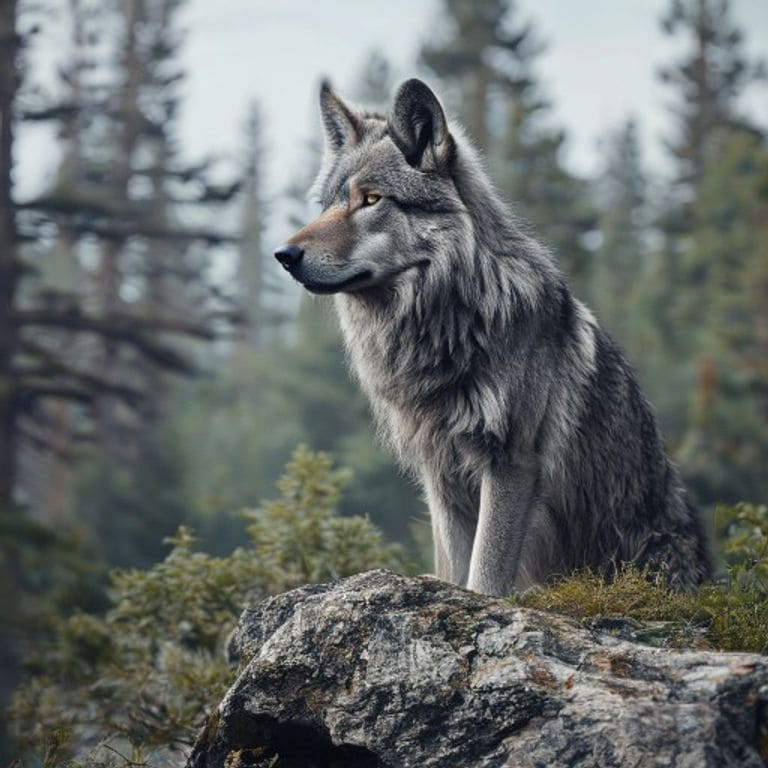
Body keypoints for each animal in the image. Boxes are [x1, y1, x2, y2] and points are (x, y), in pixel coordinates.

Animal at [274, 78, 710, 596]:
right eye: (326, 205)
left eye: (372, 199)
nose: (283, 254)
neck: (445, 328)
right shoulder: (441, 474)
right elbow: (454, 570)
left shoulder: (510, 464)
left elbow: (483, 575)